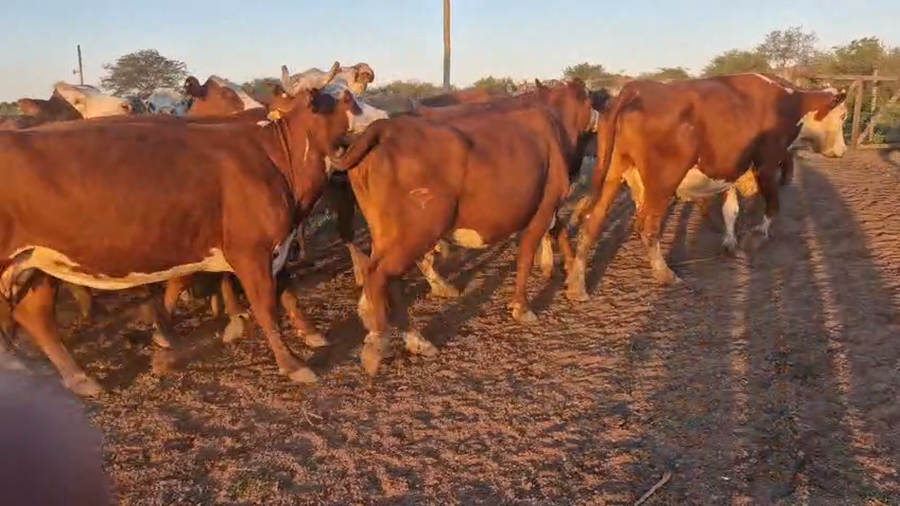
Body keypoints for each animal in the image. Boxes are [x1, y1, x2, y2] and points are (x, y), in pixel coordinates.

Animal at [0, 83, 376, 396]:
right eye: (347, 100)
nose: (383, 117)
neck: (274, 157)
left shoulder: (274, 248)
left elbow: (285, 294)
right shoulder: (250, 251)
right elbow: (267, 308)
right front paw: (292, 364)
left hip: (36, 263)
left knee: (35, 315)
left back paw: (78, 377)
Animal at [329, 79, 597, 376]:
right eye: (590, 99)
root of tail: (385, 128)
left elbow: (556, 233)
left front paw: (574, 279)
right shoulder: (544, 206)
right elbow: (528, 254)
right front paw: (524, 305)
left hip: (388, 232)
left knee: (390, 278)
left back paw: (415, 338)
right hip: (417, 230)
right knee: (378, 273)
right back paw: (378, 342)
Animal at [564, 73, 848, 301]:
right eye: (843, 115)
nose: (842, 151)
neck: (789, 103)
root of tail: (635, 89)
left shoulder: (731, 170)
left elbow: (731, 210)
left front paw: (731, 243)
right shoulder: (766, 164)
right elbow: (772, 204)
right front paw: (758, 235)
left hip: (613, 174)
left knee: (592, 221)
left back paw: (577, 286)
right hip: (662, 184)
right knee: (647, 228)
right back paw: (665, 274)